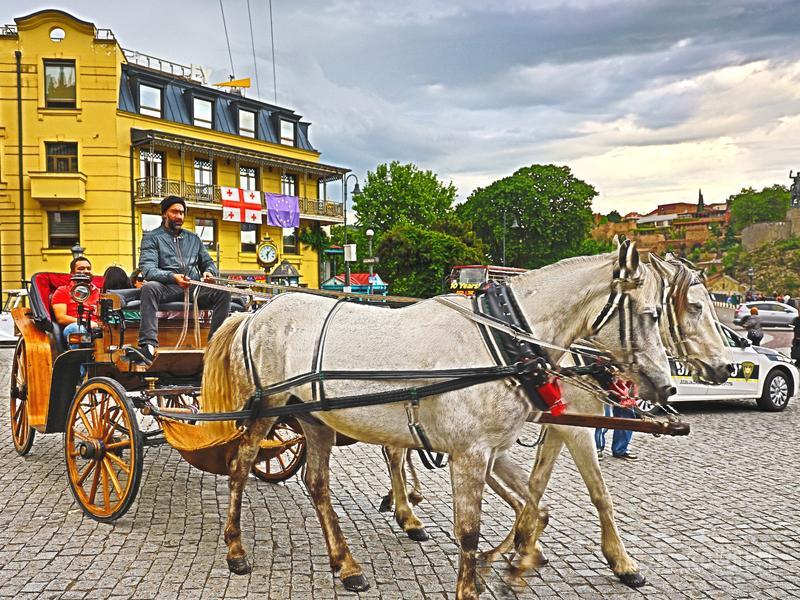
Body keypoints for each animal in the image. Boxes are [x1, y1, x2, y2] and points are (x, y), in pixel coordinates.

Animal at [201, 242, 676, 599]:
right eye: (651, 314)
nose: (667, 386)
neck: (501, 343)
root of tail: (256, 312)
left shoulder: (493, 450)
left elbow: (533, 507)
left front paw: (515, 563)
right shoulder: (470, 454)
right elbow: (469, 532)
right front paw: (475, 581)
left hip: (314, 418)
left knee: (316, 483)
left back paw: (346, 564)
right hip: (266, 410)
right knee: (240, 467)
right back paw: (236, 550)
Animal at [380, 252, 731, 588]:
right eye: (696, 307)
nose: (725, 367)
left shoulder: (559, 427)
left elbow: (536, 482)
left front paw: (526, 539)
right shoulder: (574, 430)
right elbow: (598, 492)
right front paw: (621, 561)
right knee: (395, 453)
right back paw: (407, 513)